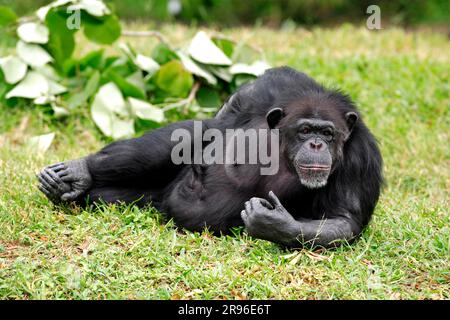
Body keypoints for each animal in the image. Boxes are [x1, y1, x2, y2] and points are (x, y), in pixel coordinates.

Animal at [37, 67, 384, 248]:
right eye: (305, 130)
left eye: (327, 133)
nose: (315, 144)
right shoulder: (262, 96)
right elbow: (200, 132)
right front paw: (79, 171)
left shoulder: (361, 157)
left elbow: (344, 219)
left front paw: (274, 223)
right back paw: (76, 178)